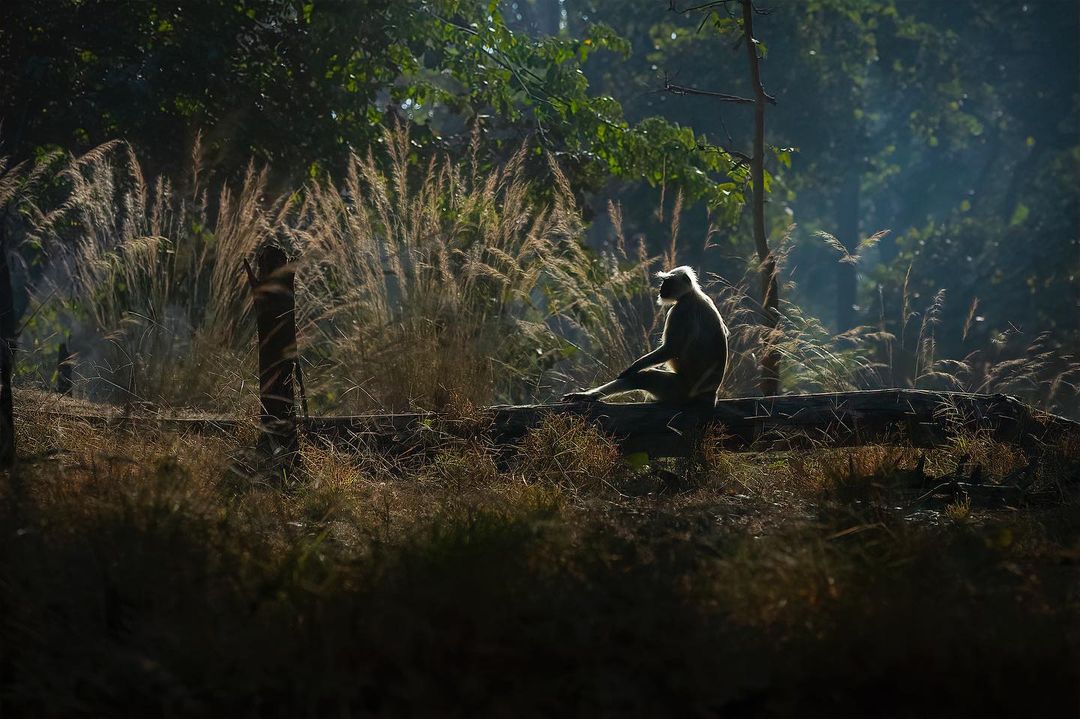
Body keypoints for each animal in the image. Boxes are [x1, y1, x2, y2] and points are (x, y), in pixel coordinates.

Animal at [561, 265, 730, 405]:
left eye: (667, 282)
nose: (661, 288)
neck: (691, 294)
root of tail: (711, 394)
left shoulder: (680, 310)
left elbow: (670, 349)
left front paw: (632, 368)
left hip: (680, 390)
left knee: (642, 377)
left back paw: (590, 396)